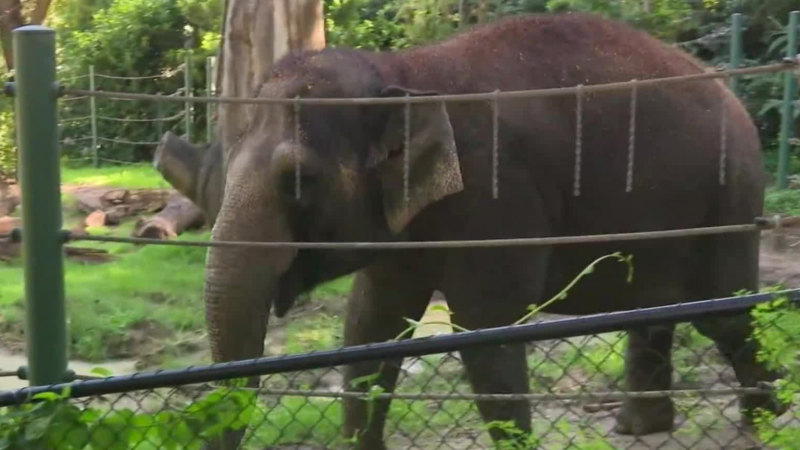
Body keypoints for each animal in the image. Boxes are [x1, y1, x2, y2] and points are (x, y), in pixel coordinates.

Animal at [202, 12, 788, 448]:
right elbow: (370, 324)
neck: (404, 71)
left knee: (725, 314)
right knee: (655, 308)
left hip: (728, 195)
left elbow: (484, 333)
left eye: (298, 180)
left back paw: (767, 422)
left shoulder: (497, 194)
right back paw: (641, 429)